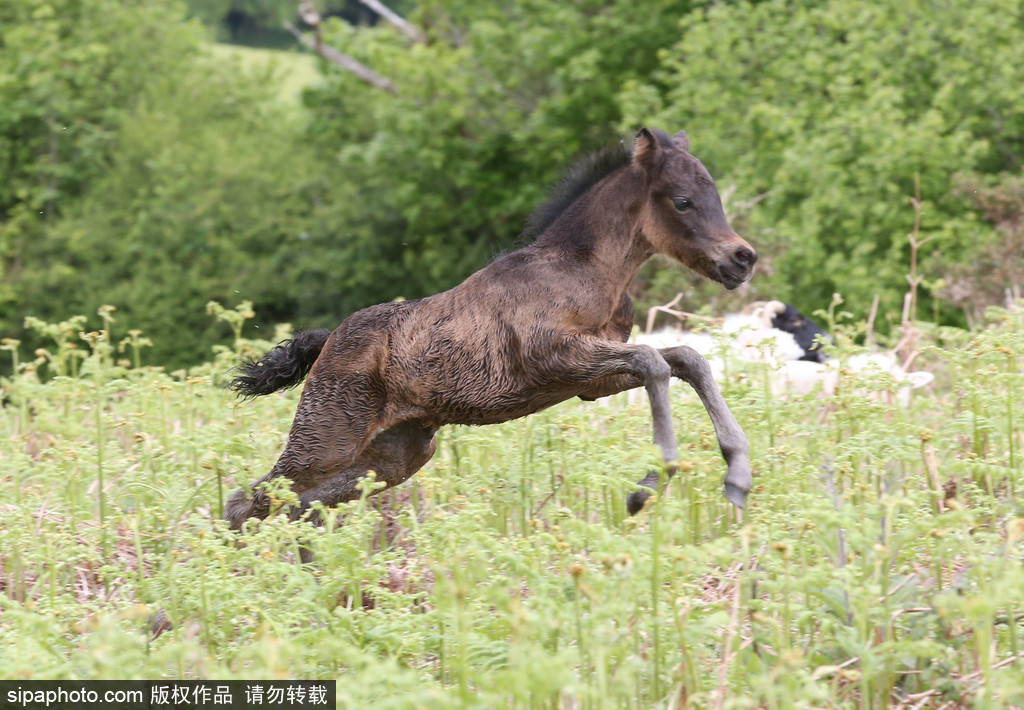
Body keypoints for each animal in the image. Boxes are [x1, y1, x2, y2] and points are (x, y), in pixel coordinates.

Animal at [225, 127, 758, 532]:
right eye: (683, 201)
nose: (743, 258)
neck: (584, 271)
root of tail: (329, 340)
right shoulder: (555, 358)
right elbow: (653, 361)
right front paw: (649, 485)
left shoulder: (590, 380)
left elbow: (686, 359)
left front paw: (737, 477)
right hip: (326, 439)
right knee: (249, 502)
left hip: (398, 454)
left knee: (298, 505)